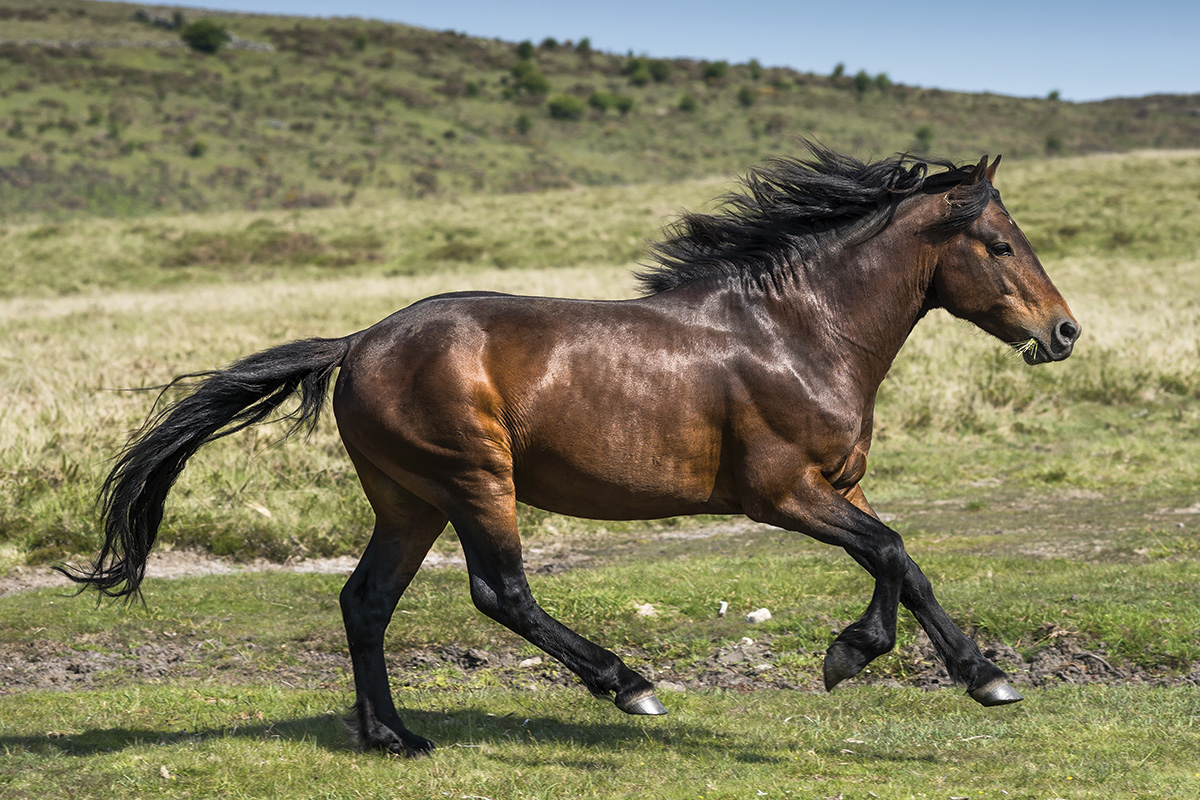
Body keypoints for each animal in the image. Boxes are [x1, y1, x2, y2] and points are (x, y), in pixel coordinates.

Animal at [63, 143, 1080, 758]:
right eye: (998, 243)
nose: (1064, 331)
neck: (796, 332)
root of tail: (358, 343)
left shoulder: (836, 486)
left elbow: (904, 563)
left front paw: (974, 675)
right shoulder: (784, 491)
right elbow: (894, 551)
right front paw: (867, 657)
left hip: (409, 501)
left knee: (365, 602)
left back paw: (394, 737)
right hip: (474, 480)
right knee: (500, 592)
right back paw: (627, 685)